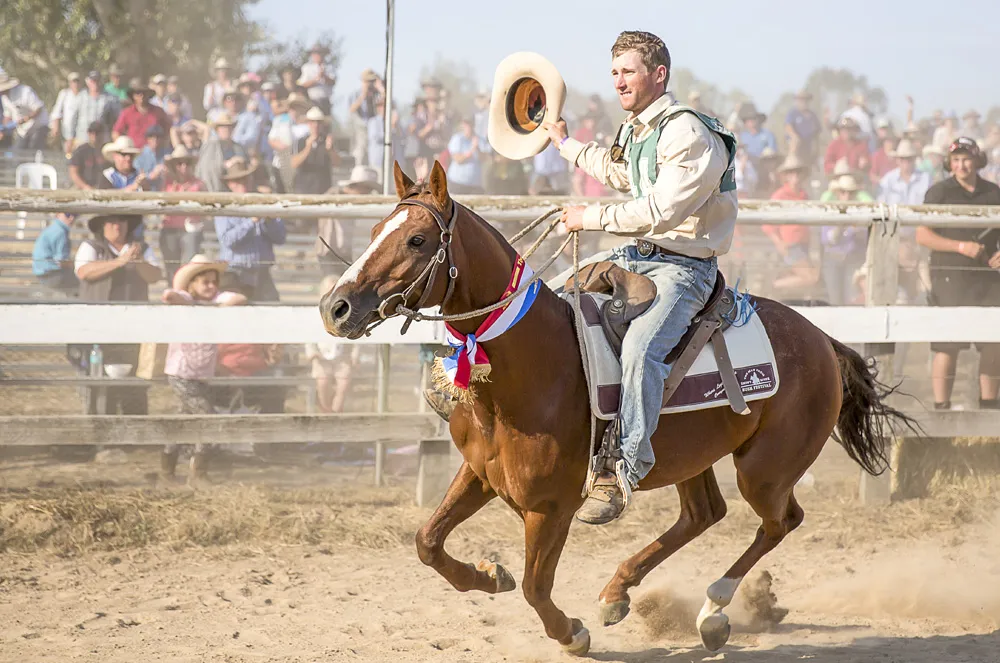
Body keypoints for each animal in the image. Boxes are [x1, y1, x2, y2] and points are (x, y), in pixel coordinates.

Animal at [322, 162, 916, 660]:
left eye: (417, 239)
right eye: (375, 230)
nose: (336, 307)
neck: (530, 367)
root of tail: (823, 341)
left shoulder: (551, 507)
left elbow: (536, 586)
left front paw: (572, 633)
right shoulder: (481, 474)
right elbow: (428, 543)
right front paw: (490, 576)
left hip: (766, 469)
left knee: (779, 521)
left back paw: (712, 610)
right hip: (692, 457)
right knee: (704, 514)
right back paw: (618, 592)